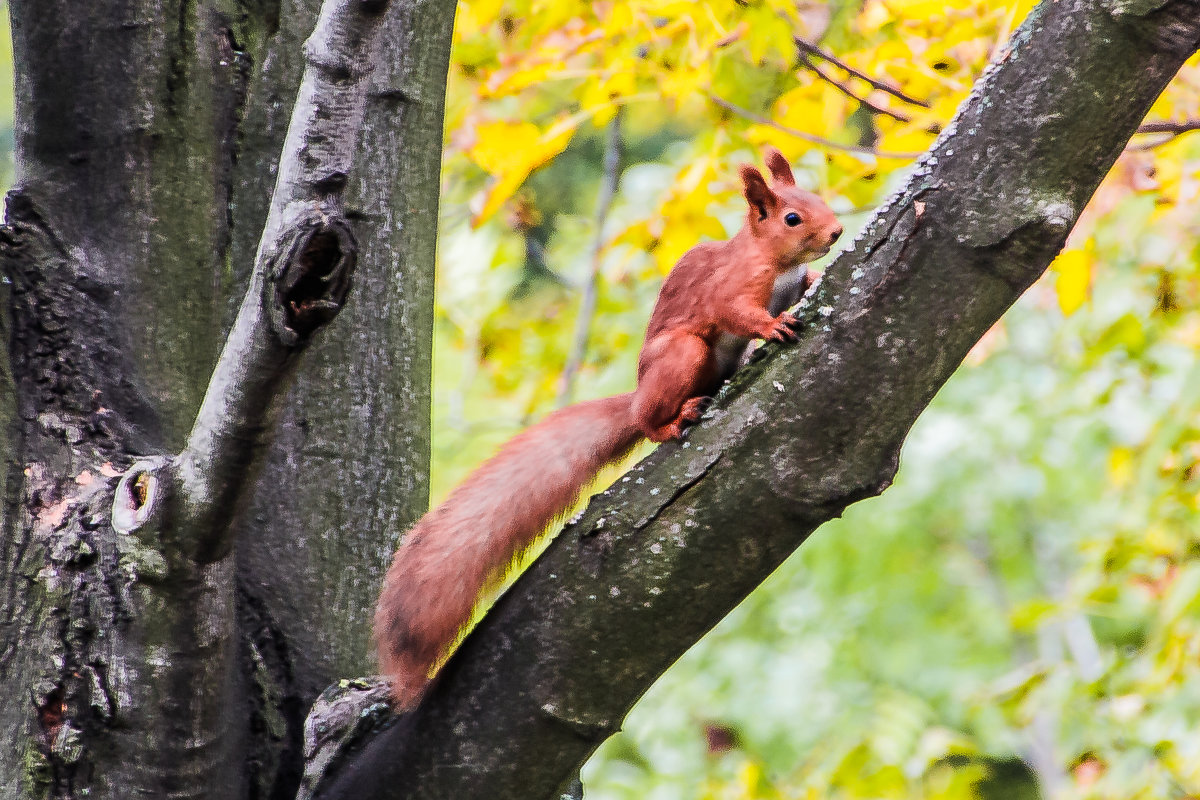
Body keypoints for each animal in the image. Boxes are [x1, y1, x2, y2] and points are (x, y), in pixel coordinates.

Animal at [376, 145, 844, 705]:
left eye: (817, 198)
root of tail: (639, 394)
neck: (774, 262)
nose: (837, 232)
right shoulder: (729, 288)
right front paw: (771, 325)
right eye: (792, 218)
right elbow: (736, 312)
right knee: (648, 419)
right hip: (682, 356)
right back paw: (675, 419)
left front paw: (814, 281)